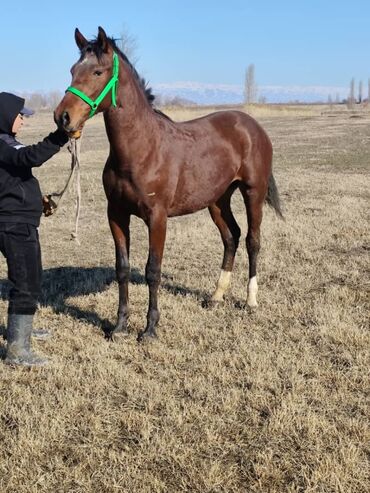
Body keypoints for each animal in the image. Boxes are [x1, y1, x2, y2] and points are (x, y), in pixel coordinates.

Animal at [54, 26, 284, 342]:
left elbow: (153, 270)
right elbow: (122, 269)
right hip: (217, 200)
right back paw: (215, 297)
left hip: (253, 192)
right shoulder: (116, 215)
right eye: (72, 70)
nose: (62, 117)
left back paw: (250, 301)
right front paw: (119, 326)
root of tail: (252, 125)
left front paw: (150, 329)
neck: (141, 149)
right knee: (231, 237)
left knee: (252, 240)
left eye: (98, 72)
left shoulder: (157, 218)